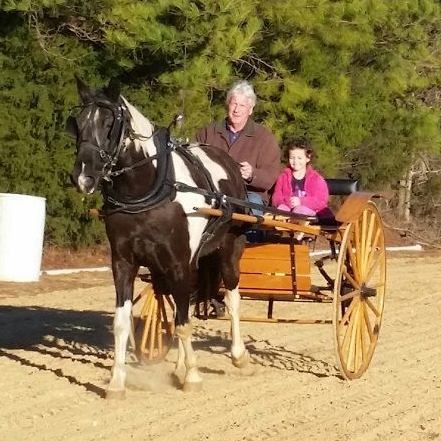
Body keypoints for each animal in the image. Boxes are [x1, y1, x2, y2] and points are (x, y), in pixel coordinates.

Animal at [67, 77, 249, 398]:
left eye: (109, 123)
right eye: (77, 123)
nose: (83, 177)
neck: (149, 190)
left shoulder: (179, 262)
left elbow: (184, 324)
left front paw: (193, 377)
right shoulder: (123, 262)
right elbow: (123, 322)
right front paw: (117, 382)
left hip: (228, 249)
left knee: (232, 298)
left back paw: (238, 355)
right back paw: (179, 364)